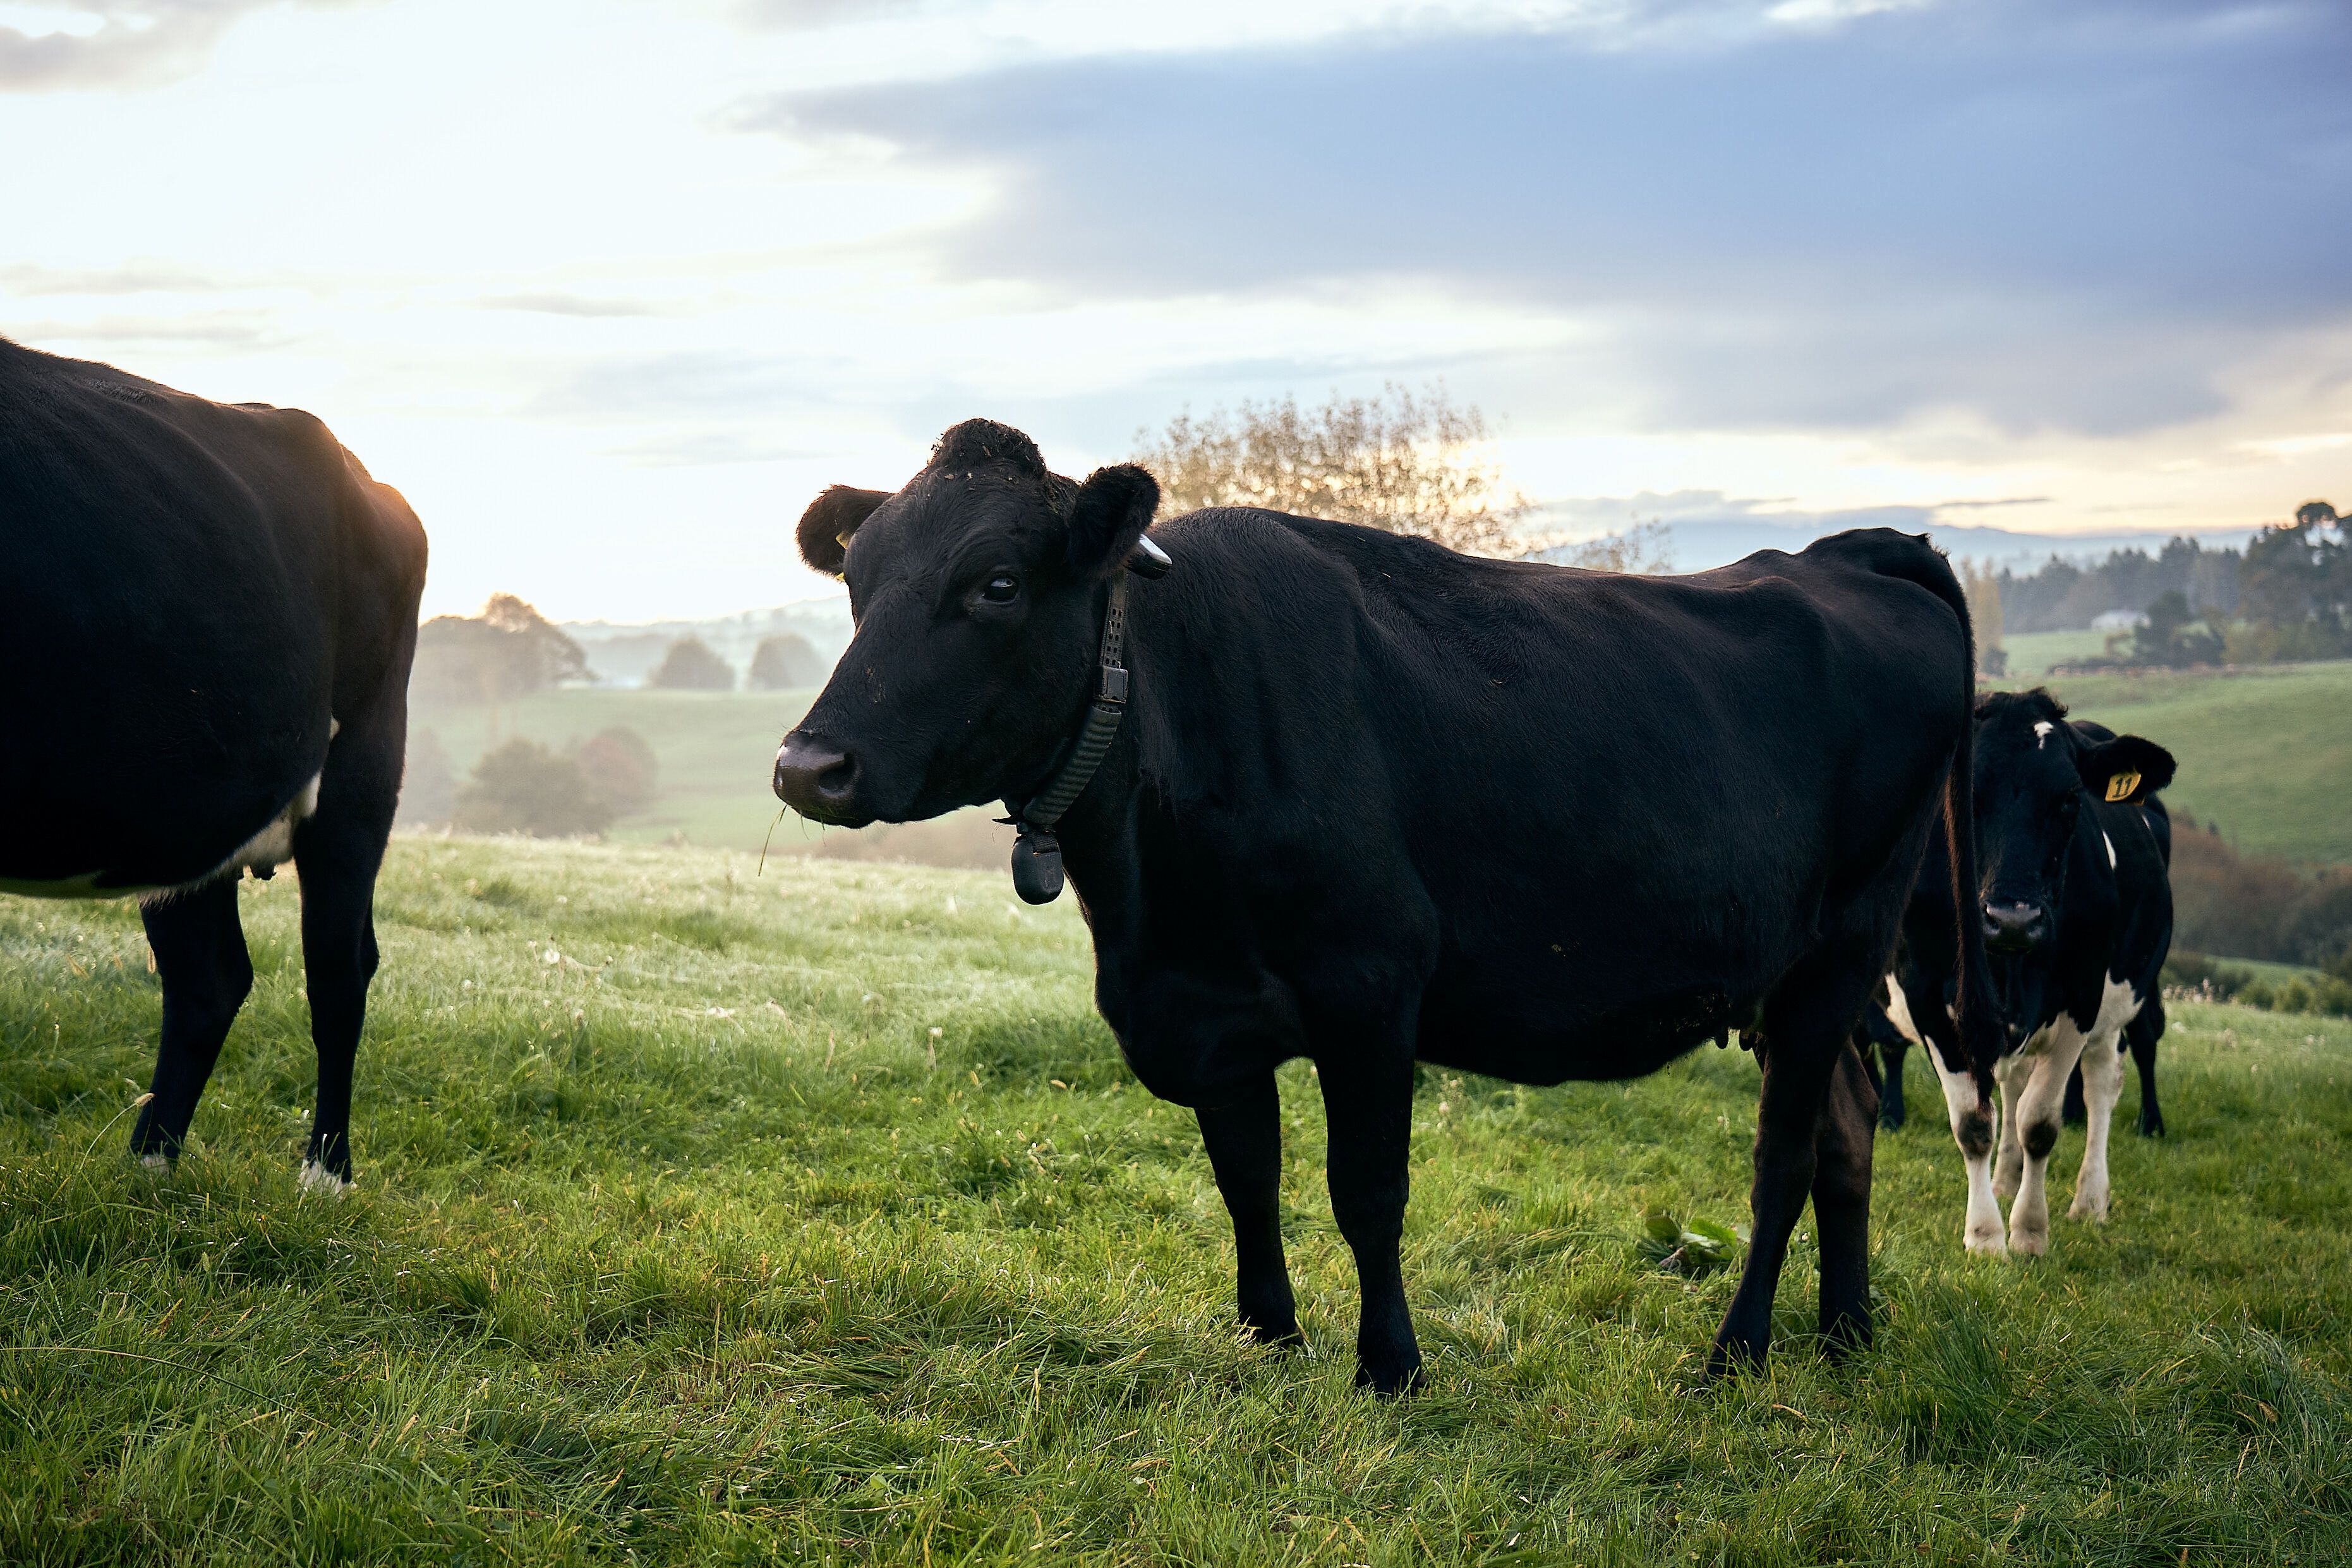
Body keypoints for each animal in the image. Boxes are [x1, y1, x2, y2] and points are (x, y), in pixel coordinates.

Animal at [0, 337, 427, 1191]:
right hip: (176, 810)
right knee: (210, 978)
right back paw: (148, 1167)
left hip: (363, 766)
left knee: (338, 969)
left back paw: (325, 1175)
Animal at [770, 419, 2002, 1387]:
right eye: (856, 585)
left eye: (996, 583)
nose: (806, 765)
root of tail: (1849, 554)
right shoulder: (1206, 1012)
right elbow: (1246, 1181)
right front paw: (1267, 1340)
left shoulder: (1367, 986)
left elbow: (1365, 1188)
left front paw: (1390, 1367)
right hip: (1797, 978)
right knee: (1847, 1131)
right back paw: (1845, 1333)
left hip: (1840, 949)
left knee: (1783, 1157)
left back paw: (1735, 1353)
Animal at [1877, 691, 2175, 1255]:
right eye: (1963, 792)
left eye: (2070, 798)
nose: (2012, 918)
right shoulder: (1925, 997)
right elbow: (1974, 1123)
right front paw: (1984, 1234)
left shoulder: (2081, 993)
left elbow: (2039, 1122)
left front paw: (2029, 1231)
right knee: (2012, 1087)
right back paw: (2002, 1181)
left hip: (2118, 999)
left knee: (2101, 1084)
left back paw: (2089, 1200)